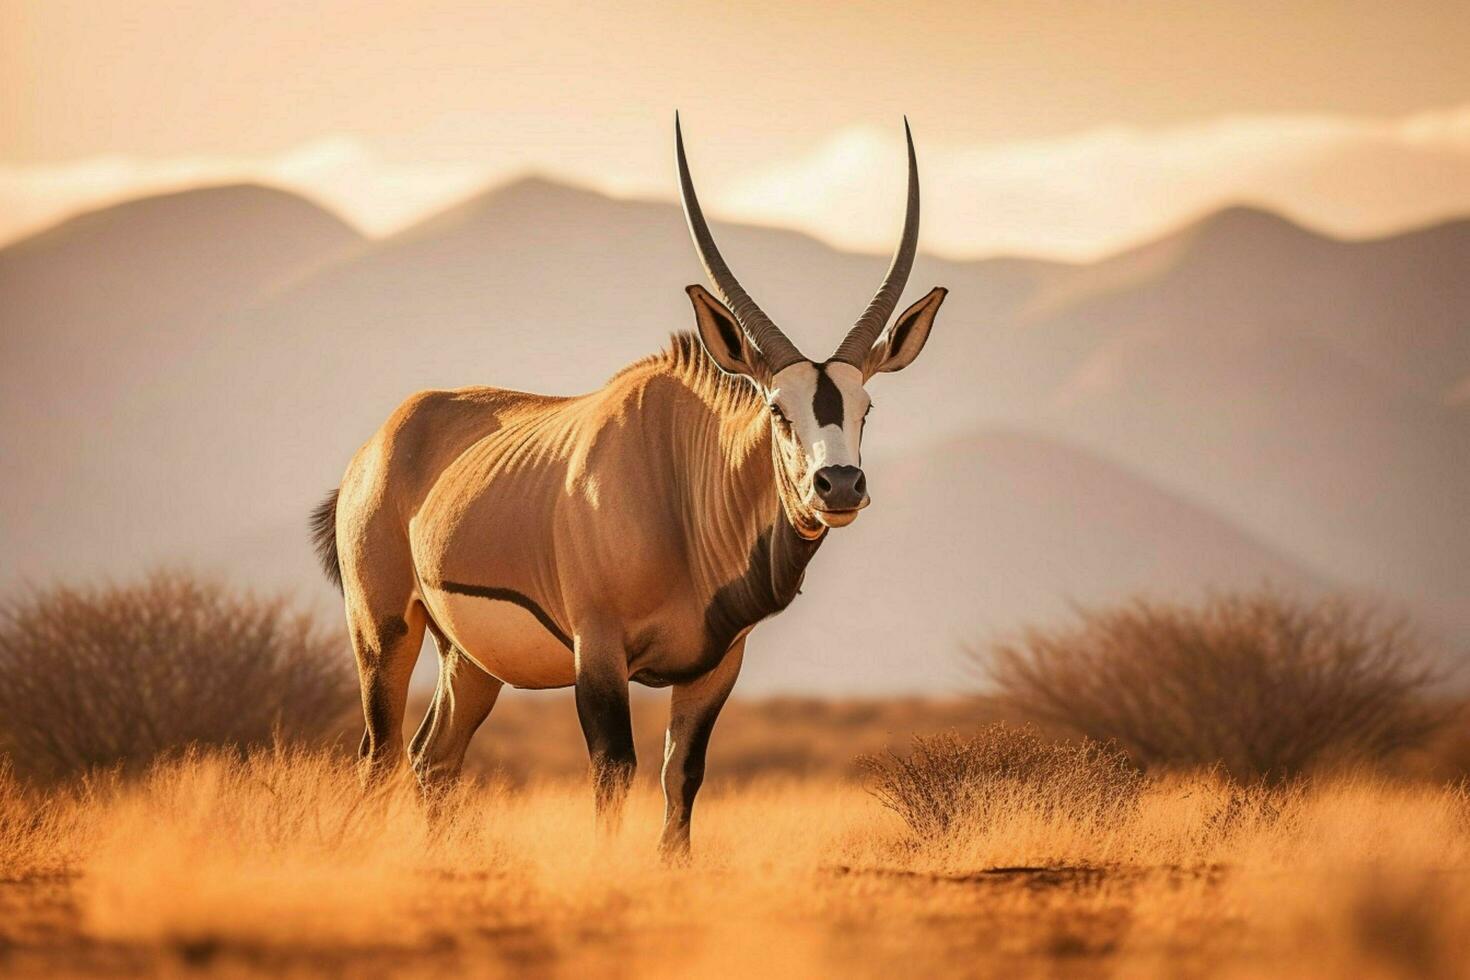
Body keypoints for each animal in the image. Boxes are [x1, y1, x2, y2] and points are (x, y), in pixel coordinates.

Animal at [314, 116, 946, 858]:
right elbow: (614, 770)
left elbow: (683, 776)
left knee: (431, 759)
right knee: (379, 756)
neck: (682, 485)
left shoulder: (715, 666)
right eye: (777, 409)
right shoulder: (599, 652)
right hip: (383, 630)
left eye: (865, 409)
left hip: (468, 661)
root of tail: (378, 444)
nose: (839, 485)